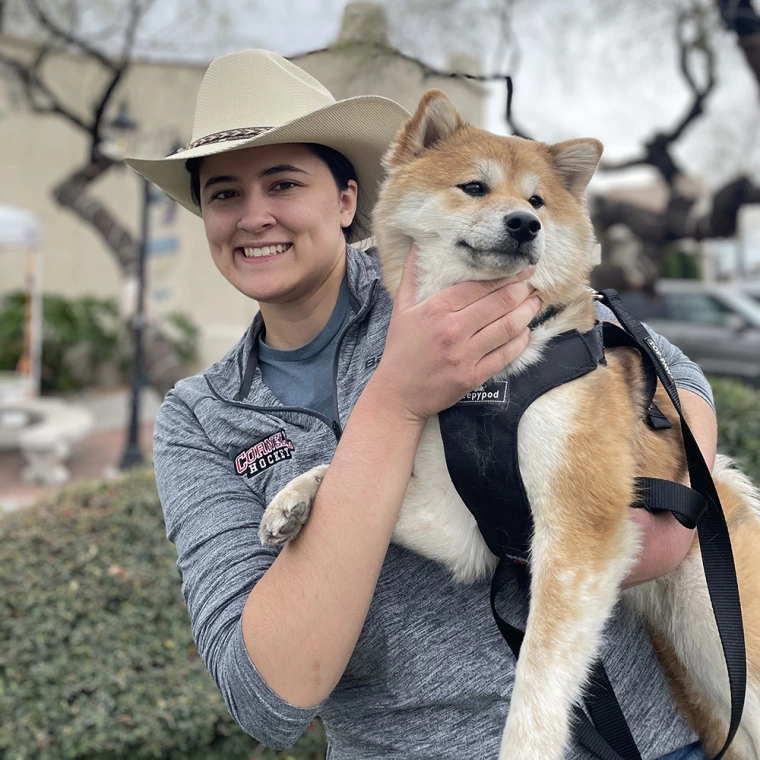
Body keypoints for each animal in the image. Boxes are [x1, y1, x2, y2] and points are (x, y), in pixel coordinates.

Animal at [262, 90, 760, 760]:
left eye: (537, 201)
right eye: (474, 187)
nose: (526, 225)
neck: (495, 377)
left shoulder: (577, 530)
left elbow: (539, 680)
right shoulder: (460, 522)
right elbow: (351, 479)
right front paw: (292, 500)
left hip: (714, 617)